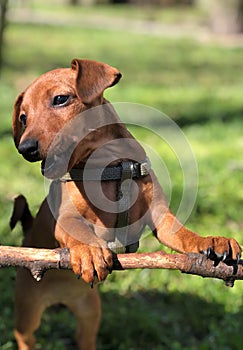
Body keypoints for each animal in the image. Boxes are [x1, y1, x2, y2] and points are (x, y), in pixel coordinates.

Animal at [11, 58, 241, 348]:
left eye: (60, 99)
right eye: (23, 117)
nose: (25, 148)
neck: (110, 166)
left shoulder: (160, 217)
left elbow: (185, 235)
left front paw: (212, 241)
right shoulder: (64, 218)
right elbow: (77, 229)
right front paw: (89, 251)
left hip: (90, 313)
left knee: (85, 337)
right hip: (28, 311)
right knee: (25, 336)